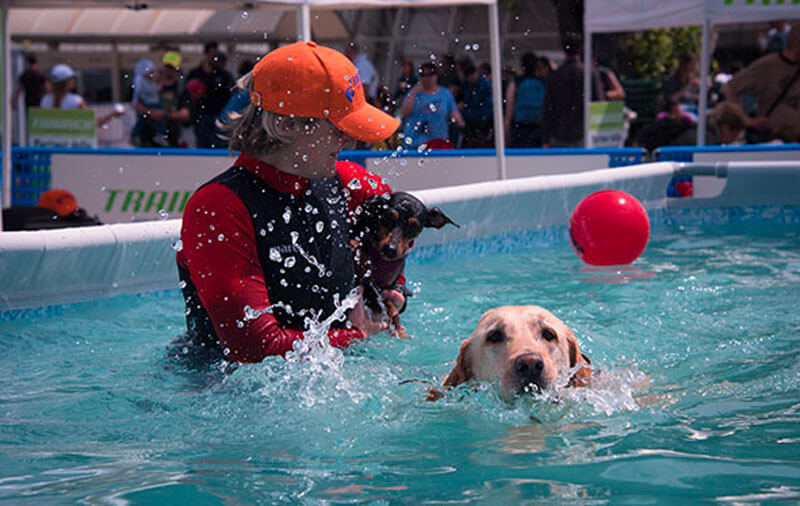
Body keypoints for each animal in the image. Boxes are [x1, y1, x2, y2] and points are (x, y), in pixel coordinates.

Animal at [350, 192, 456, 338]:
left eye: (414, 226)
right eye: (388, 217)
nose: (390, 249)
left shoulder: (386, 286)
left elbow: (390, 307)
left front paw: (398, 331)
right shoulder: (367, 282)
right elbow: (386, 304)